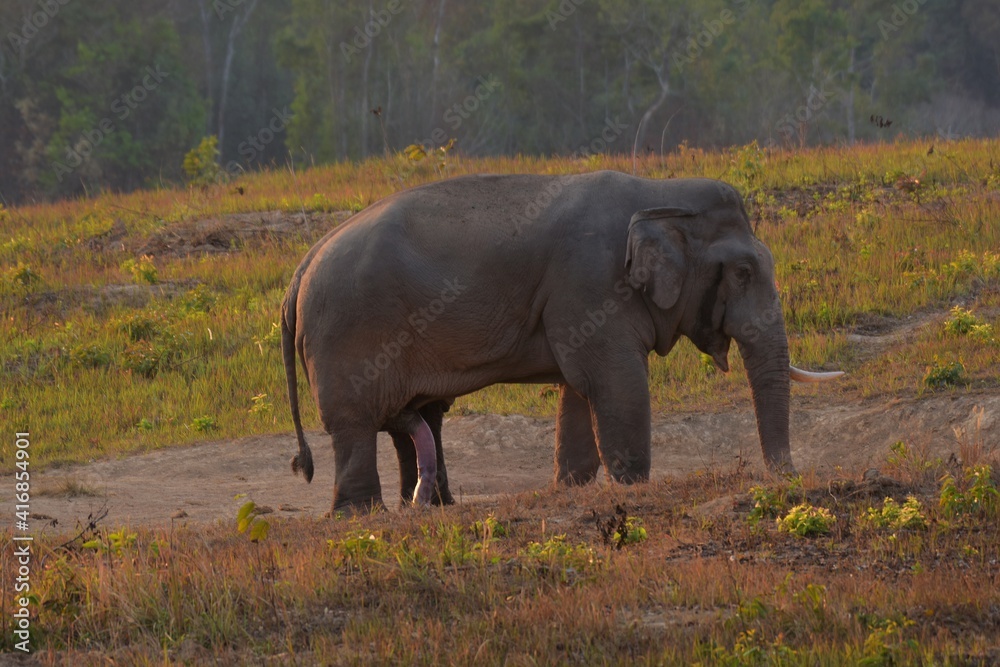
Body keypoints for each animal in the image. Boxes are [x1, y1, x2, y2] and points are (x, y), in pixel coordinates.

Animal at [281, 171, 842, 513]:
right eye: (743, 272)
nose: (789, 478)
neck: (659, 194)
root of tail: (302, 267)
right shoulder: (591, 282)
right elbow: (614, 381)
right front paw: (633, 486)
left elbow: (578, 386)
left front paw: (571, 485)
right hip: (349, 334)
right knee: (356, 423)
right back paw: (359, 513)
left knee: (420, 418)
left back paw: (432, 506)